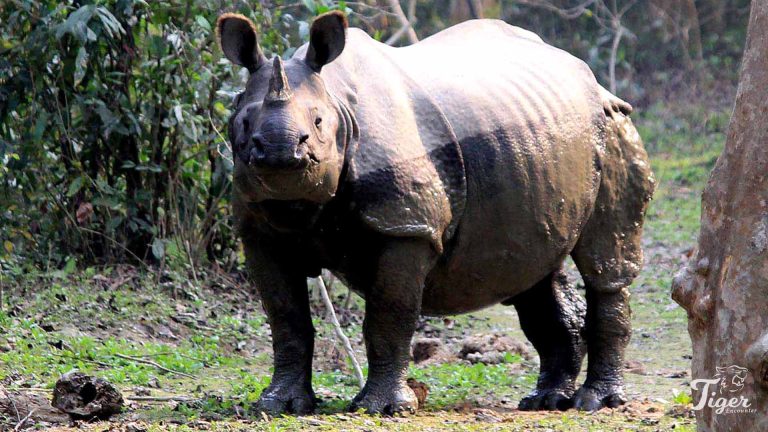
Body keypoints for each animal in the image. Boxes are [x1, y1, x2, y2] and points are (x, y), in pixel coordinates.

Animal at [215, 11, 654, 415]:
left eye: (319, 122)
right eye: (242, 121)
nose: (279, 150)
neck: (339, 101)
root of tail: (593, 79)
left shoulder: (407, 225)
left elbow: (389, 314)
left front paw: (383, 408)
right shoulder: (259, 233)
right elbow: (285, 318)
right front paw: (277, 405)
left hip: (613, 127)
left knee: (604, 264)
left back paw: (596, 402)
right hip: (534, 144)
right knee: (532, 267)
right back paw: (545, 400)